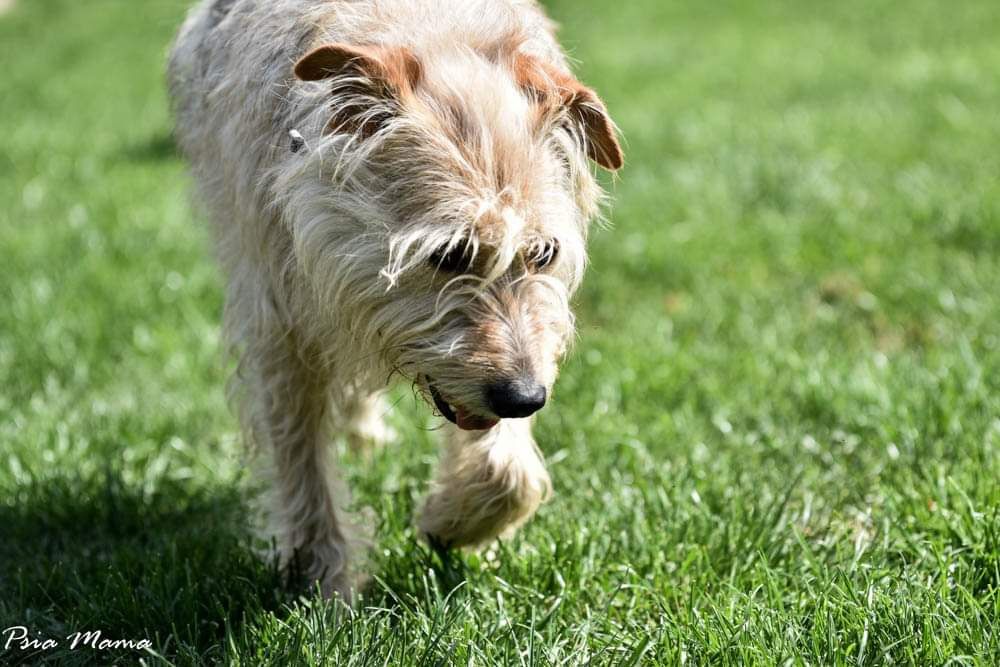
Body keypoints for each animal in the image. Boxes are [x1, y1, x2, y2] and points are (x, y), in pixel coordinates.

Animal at [172, 0, 624, 600]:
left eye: (543, 252)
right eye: (450, 252)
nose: (527, 399)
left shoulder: (516, 358)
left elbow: (511, 474)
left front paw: (449, 522)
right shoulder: (279, 316)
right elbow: (298, 454)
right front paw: (323, 586)